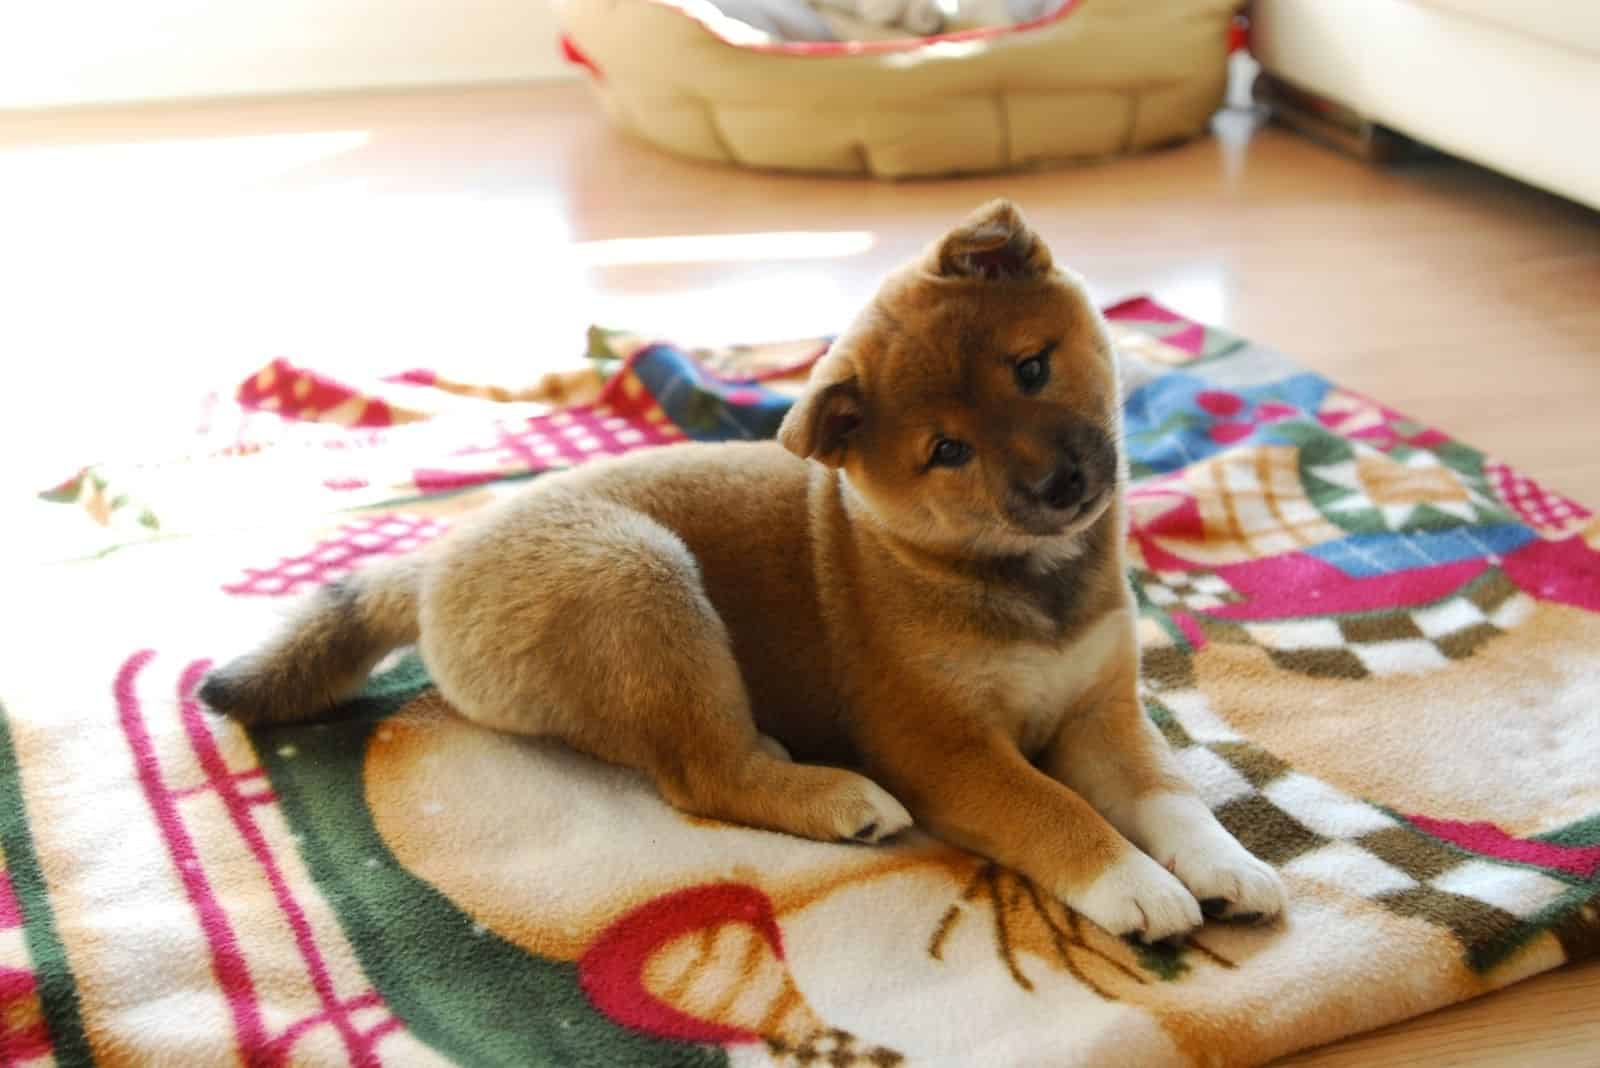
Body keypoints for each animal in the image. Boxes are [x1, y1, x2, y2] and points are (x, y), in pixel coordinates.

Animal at [206, 204, 1292, 940]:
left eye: (1032, 368)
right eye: (947, 452)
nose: (1062, 481)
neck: (1019, 581)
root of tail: (436, 565)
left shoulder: (1103, 712)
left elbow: (1168, 791)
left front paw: (1224, 862)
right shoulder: (943, 748)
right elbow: (1054, 809)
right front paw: (1133, 882)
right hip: (641, 580)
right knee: (702, 776)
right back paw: (836, 797)